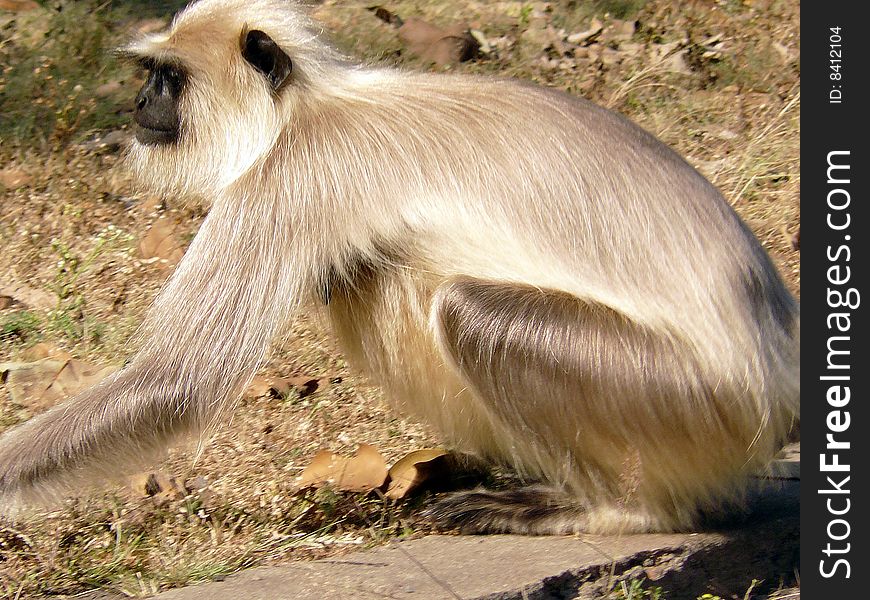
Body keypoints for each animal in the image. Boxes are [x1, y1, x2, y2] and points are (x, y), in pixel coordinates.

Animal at [0, 0, 800, 536]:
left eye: (167, 78)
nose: (140, 103)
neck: (309, 104)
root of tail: (781, 370)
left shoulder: (290, 176)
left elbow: (175, 383)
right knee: (368, 273)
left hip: (692, 402)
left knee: (473, 313)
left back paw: (619, 510)